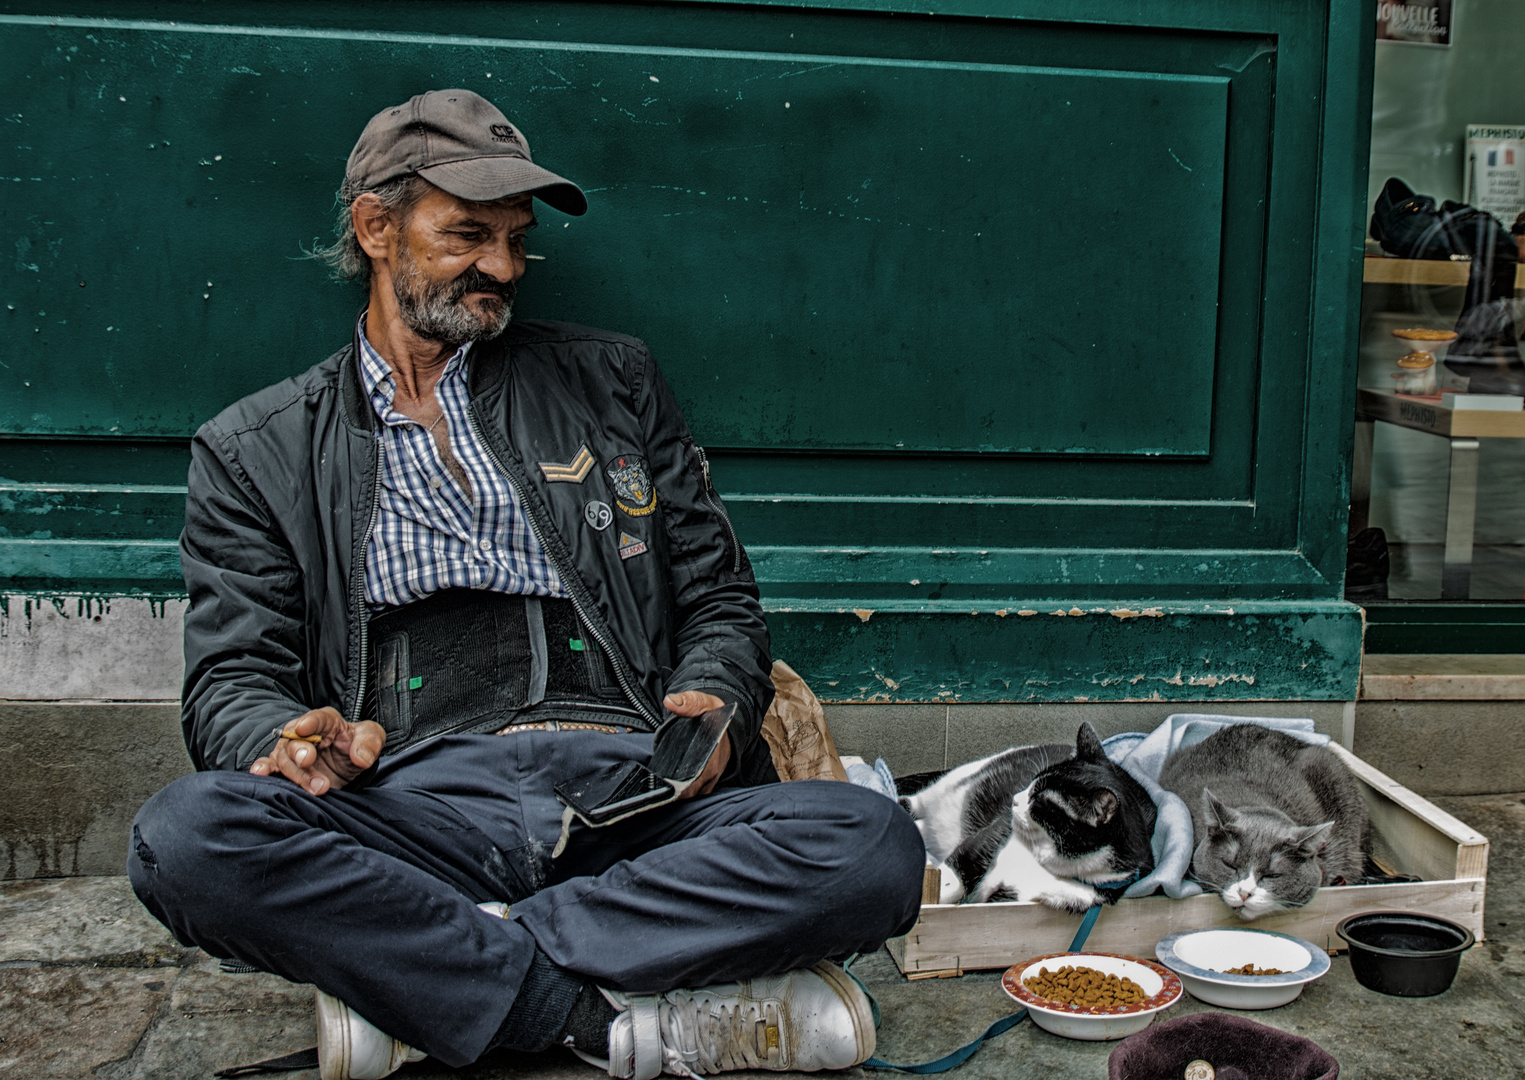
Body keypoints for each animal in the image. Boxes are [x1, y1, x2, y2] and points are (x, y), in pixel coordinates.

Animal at [896, 726, 1146, 909]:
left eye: (1037, 799)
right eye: (1031, 782)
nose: (1014, 799)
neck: (1041, 864)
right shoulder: (991, 837)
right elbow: (955, 877)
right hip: (955, 783)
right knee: (916, 802)